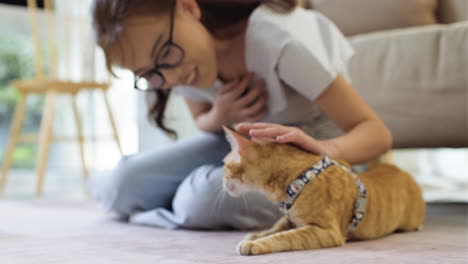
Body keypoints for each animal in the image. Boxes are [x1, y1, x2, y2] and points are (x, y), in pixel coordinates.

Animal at [222, 127, 424, 255]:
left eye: (224, 165)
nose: (222, 182)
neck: (298, 178)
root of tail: (398, 169)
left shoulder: (325, 232)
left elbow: (284, 237)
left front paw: (254, 243)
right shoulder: (290, 219)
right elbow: (275, 228)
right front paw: (257, 234)